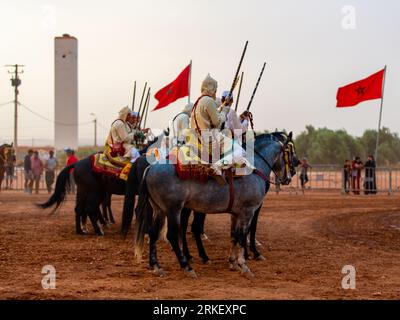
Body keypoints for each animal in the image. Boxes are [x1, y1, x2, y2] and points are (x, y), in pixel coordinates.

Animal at [134, 132, 296, 278]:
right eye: (290, 153)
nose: (289, 176)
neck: (254, 170)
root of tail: (151, 168)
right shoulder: (248, 212)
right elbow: (242, 236)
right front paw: (244, 265)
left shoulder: (235, 214)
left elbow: (234, 236)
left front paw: (233, 262)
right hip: (173, 210)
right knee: (172, 235)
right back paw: (187, 267)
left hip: (159, 210)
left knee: (154, 233)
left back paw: (157, 266)